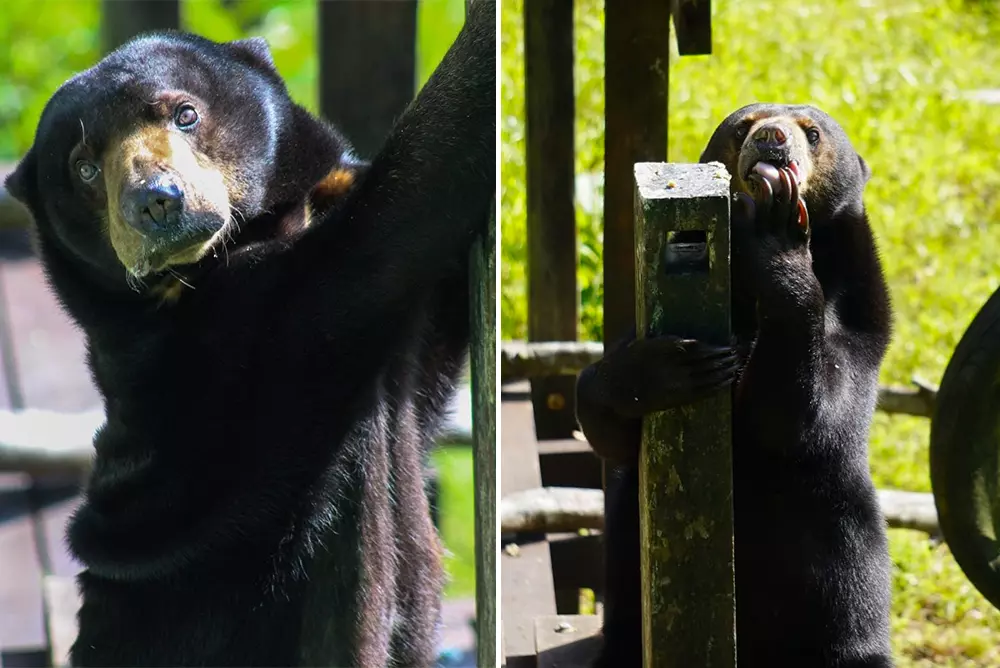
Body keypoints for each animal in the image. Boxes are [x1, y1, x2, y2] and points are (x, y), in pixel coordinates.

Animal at [576, 103, 894, 667]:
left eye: (813, 133)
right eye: (743, 126)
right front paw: (672, 368)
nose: (772, 139)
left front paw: (777, 239)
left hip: (840, 545)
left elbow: (807, 414)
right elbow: (606, 424)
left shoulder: (859, 319)